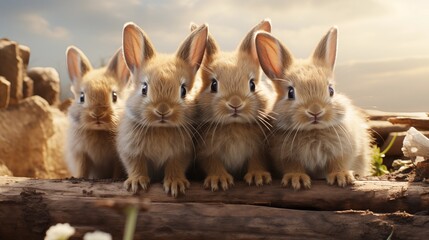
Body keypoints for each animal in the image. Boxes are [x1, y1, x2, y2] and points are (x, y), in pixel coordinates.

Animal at [64, 46, 130, 179]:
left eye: (114, 96)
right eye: (82, 97)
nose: (97, 114)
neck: (99, 130)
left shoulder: (117, 159)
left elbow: (117, 169)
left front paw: (116, 179)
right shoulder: (81, 154)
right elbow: (82, 169)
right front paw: (79, 177)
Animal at [118, 21, 208, 197]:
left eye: (183, 91)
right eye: (144, 88)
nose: (162, 110)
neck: (161, 128)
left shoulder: (181, 154)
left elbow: (175, 166)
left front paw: (175, 185)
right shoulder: (131, 151)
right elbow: (136, 165)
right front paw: (136, 183)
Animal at [193, 19, 272, 191]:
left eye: (252, 84)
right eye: (213, 85)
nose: (235, 104)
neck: (234, 124)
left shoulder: (258, 150)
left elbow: (257, 160)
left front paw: (258, 177)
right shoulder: (207, 152)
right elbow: (212, 163)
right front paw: (219, 180)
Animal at [254, 26, 372, 191]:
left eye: (331, 90)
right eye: (291, 93)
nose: (315, 111)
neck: (313, 130)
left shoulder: (342, 151)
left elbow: (338, 163)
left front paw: (341, 176)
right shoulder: (286, 157)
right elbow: (293, 167)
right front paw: (296, 179)